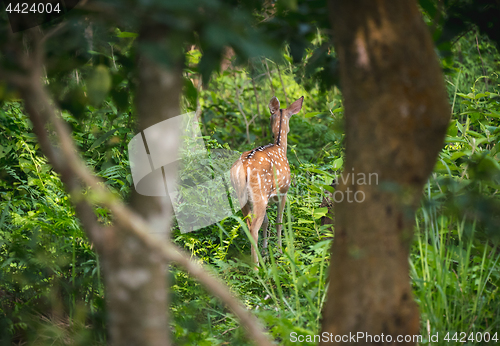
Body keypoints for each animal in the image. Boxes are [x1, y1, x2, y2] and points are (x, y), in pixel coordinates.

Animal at [231, 96, 304, 264]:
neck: (279, 146)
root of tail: (244, 166)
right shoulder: (283, 192)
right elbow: (279, 220)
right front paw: (279, 250)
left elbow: (266, 221)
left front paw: (265, 251)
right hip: (260, 194)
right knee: (253, 227)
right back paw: (257, 266)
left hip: (243, 196)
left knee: (249, 224)